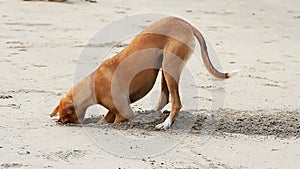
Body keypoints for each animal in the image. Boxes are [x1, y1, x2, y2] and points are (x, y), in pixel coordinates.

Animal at [51, 16, 239, 129]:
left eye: (64, 117)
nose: (59, 122)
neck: (93, 84)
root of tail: (186, 24)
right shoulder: (113, 110)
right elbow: (105, 118)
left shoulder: (123, 114)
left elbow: (114, 120)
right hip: (164, 68)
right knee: (164, 98)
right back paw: (153, 113)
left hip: (170, 66)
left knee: (176, 103)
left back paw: (165, 124)